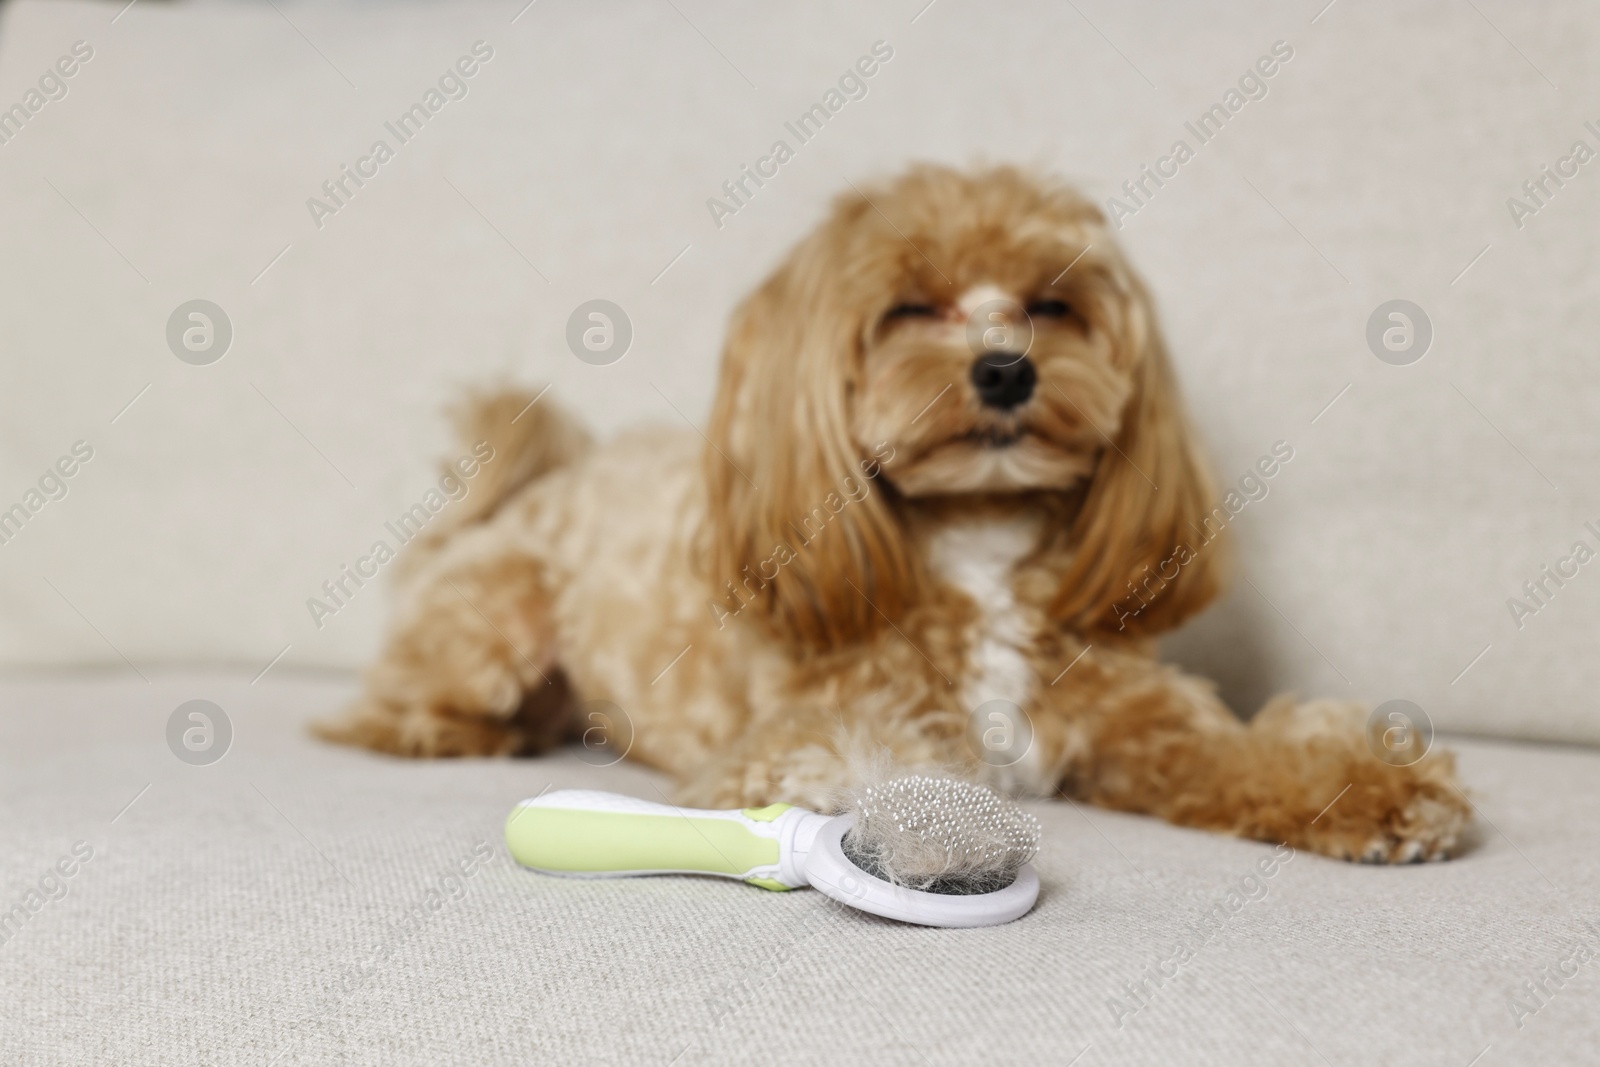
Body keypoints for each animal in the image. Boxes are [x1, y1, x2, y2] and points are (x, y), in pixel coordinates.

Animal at [321, 163, 1472, 863]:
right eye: (911, 307)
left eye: (1053, 304)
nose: (1005, 368)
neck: (978, 547)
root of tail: (539, 485)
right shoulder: (786, 736)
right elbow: (836, 760)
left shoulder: (1141, 723)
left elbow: (1243, 753)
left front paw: (1372, 785)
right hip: (496, 615)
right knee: (384, 705)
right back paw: (448, 729)